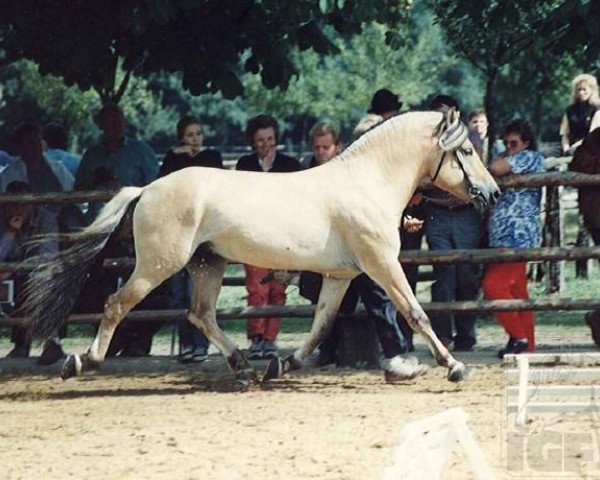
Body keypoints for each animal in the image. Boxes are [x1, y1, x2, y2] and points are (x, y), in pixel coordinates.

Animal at [24, 109, 502, 386]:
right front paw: (453, 366)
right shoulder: (381, 263)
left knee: (200, 314)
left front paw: (281, 365)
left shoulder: (341, 275)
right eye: (464, 150)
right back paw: (82, 362)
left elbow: (321, 328)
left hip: (207, 265)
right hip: (159, 265)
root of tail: (146, 189)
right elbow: (415, 313)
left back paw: (245, 367)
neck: (367, 182)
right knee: (116, 304)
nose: (493, 193)